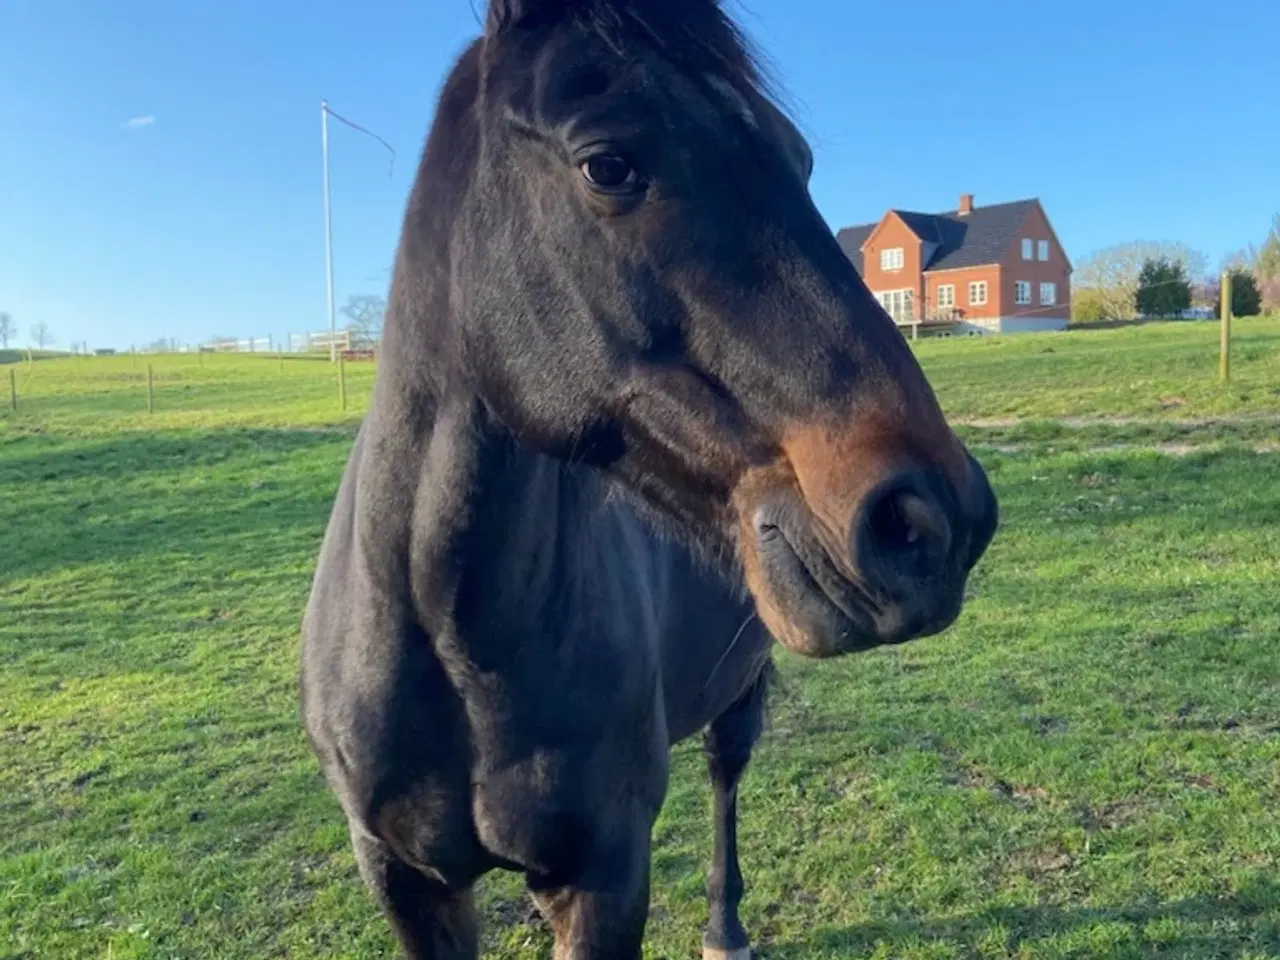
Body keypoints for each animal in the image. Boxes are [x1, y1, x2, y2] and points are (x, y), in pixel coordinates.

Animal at [299, 3, 998, 957]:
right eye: (609, 163)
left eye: (800, 162)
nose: (931, 521)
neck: (445, 631)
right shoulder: (405, 882)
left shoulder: (608, 876)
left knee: (726, 777)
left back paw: (725, 928)